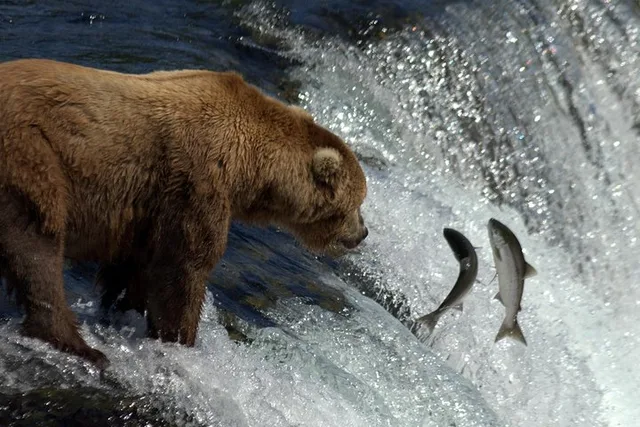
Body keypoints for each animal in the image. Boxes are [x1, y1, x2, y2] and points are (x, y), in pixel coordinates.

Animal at [0, 58, 368, 369]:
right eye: (358, 202)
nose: (362, 233)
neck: (249, 168)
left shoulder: (145, 210)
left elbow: (135, 267)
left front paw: (122, 311)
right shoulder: (195, 181)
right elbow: (184, 266)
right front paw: (180, 339)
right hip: (33, 157)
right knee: (38, 245)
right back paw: (79, 345)